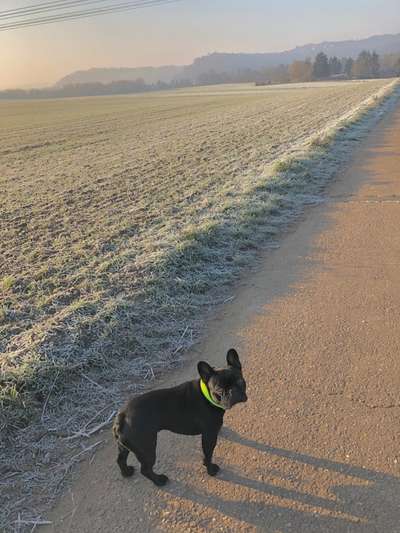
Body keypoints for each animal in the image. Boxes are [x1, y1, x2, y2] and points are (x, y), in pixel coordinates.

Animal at [112, 348, 247, 484]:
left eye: (240, 381)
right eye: (219, 389)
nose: (233, 391)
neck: (206, 395)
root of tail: (121, 416)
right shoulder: (209, 436)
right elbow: (208, 454)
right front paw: (210, 470)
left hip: (125, 446)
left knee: (120, 459)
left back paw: (126, 472)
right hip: (147, 448)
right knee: (145, 469)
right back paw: (159, 481)